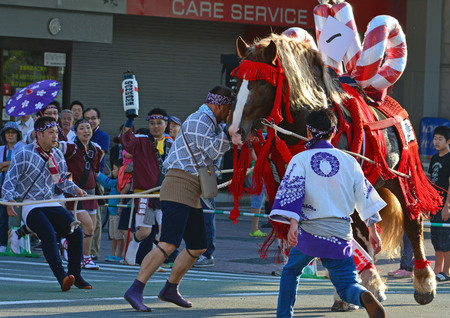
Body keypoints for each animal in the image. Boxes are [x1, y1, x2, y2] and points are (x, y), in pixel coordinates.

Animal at [227, 33, 438, 308]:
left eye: (262, 82)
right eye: (237, 82)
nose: (234, 130)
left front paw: (370, 282)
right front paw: (357, 283)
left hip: (399, 178)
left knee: (413, 224)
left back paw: (423, 283)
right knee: (362, 232)